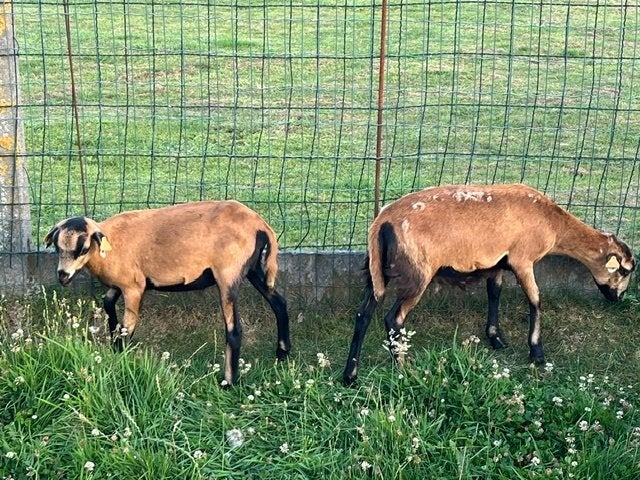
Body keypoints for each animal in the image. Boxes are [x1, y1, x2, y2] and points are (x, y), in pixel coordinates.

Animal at [44, 200, 290, 385]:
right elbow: (107, 303)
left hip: (228, 274)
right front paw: (113, 346)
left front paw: (120, 359)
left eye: (83, 248)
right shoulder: (119, 284)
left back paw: (229, 382)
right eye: (57, 246)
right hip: (254, 268)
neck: (110, 246)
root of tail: (260, 224)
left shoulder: (134, 287)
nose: (62, 276)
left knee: (234, 329)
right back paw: (282, 354)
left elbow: (127, 328)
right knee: (279, 303)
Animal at [343, 183, 635, 385]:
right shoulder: (522, 259)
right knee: (393, 319)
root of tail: (382, 222)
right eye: (624, 271)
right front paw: (536, 353)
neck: (554, 224)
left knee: (363, 314)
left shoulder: (497, 263)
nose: (618, 298)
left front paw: (495, 338)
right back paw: (403, 368)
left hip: (376, 271)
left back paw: (350, 376)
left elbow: (494, 293)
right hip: (418, 273)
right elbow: (535, 300)